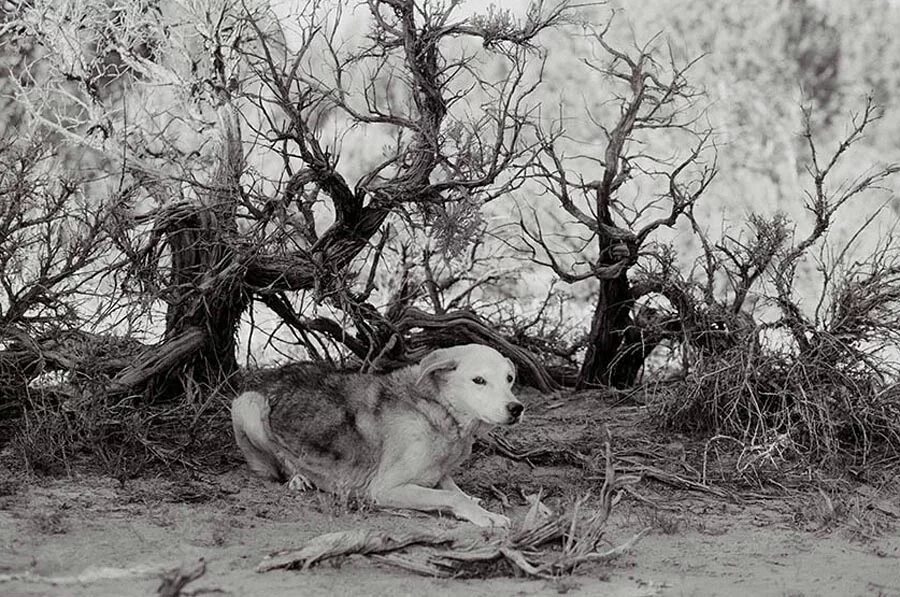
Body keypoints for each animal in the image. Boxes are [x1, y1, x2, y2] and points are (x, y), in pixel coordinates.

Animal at [232, 344, 524, 528]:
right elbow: (451, 496)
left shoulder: (437, 473)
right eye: (479, 380)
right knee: (279, 464)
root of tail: (276, 373)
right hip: (247, 405)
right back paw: (299, 478)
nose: (517, 408)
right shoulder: (384, 488)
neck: (436, 408)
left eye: (509, 378)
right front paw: (485, 516)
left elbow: (452, 488)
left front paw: (475, 502)